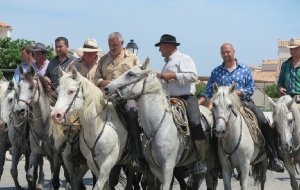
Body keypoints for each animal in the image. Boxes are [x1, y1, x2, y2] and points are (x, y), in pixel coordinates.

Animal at [103, 60, 216, 190]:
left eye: (130, 74)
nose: (106, 88)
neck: (158, 127)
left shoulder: (168, 168)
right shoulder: (154, 169)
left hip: (209, 161)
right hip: (189, 163)